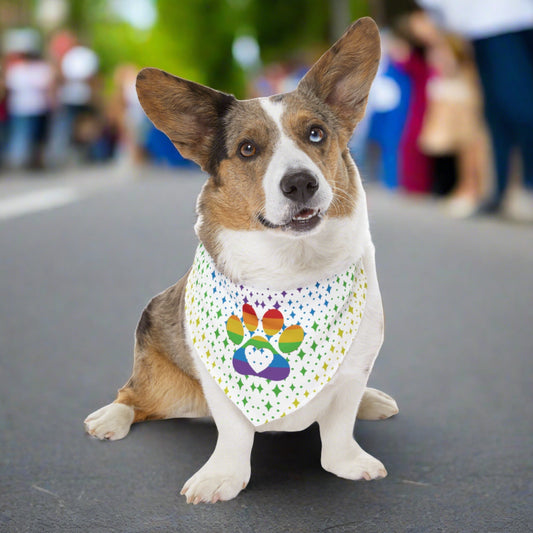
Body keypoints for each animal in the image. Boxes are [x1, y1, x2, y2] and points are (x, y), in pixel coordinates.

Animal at [85, 17, 396, 502]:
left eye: (316, 134)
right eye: (248, 149)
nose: (301, 183)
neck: (290, 272)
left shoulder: (353, 369)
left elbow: (340, 426)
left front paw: (349, 462)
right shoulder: (220, 385)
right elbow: (233, 433)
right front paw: (221, 477)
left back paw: (373, 400)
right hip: (167, 388)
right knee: (133, 396)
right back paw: (110, 418)